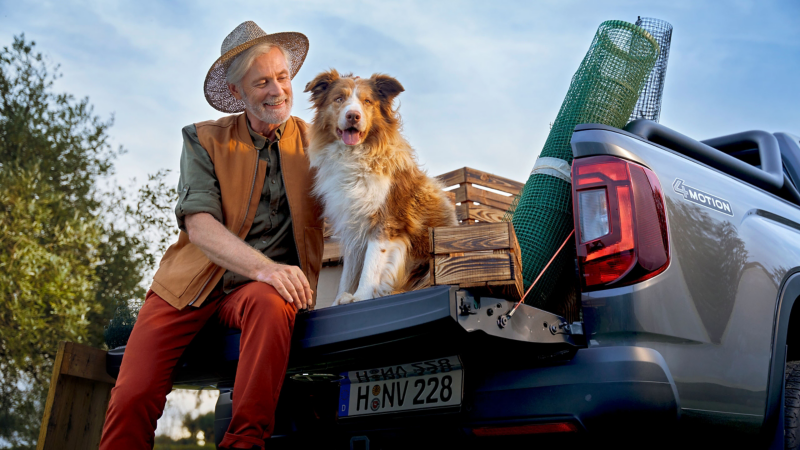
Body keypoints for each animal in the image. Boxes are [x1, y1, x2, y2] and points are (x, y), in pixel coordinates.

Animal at [304, 70, 460, 304]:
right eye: (339, 99)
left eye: (367, 101)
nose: (353, 116)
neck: (354, 156)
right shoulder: (353, 224)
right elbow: (348, 272)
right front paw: (339, 299)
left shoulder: (386, 220)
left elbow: (371, 264)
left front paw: (360, 297)